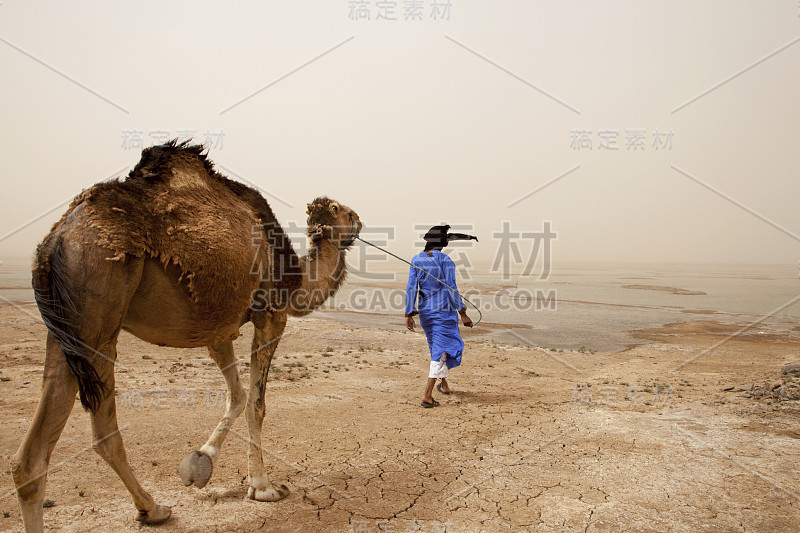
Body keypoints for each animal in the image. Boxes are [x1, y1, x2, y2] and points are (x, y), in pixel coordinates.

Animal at [10, 139, 362, 528]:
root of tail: (54, 241)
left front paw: (200, 464)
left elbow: (237, 396)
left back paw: (150, 507)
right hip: (98, 309)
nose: (359, 220)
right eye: (344, 211)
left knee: (33, 456)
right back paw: (154, 507)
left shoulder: (218, 330)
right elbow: (256, 404)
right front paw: (263, 487)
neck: (296, 279)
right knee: (99, 431)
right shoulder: (271, 315)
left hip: (65, 331)